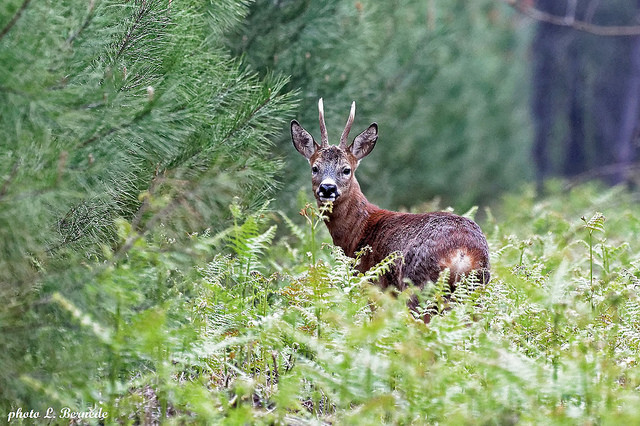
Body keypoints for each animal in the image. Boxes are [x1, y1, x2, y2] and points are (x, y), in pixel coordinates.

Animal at [290, 100, 490, 320]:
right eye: (314, 168)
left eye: (346, 169)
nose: (327, 188)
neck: (358, 231)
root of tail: (462, 253)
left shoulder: (373, 285)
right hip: (476, 291)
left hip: (418, 287)